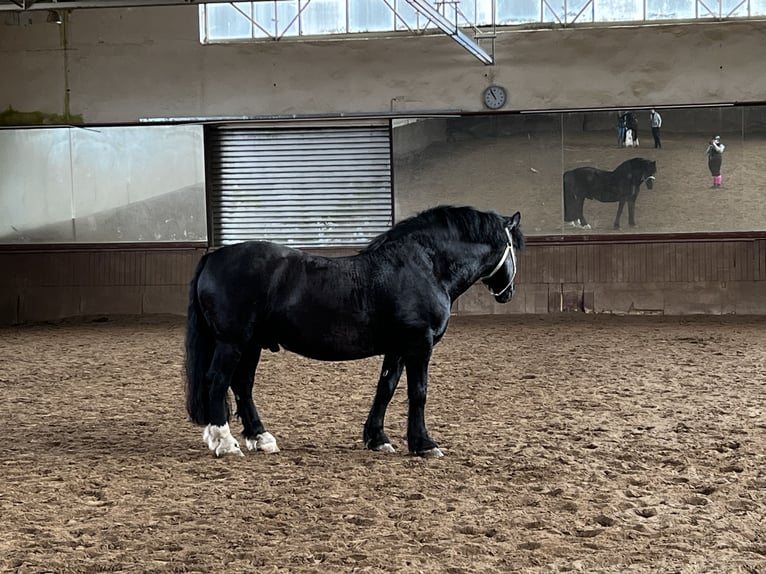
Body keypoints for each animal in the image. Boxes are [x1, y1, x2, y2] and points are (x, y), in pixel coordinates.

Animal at [185, 205, 524, 459]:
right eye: (513, 248)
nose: (508, 292)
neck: (425, 266)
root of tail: (213, 256)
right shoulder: (419, 344)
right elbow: (418, 392)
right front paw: (424, 444)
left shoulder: (397, 348)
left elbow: (385, 389)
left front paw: (377, 439)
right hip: (232, 342)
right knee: (218, 381)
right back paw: (226, 443)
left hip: (251, 343)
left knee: (242, 385)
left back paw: (261, 438)